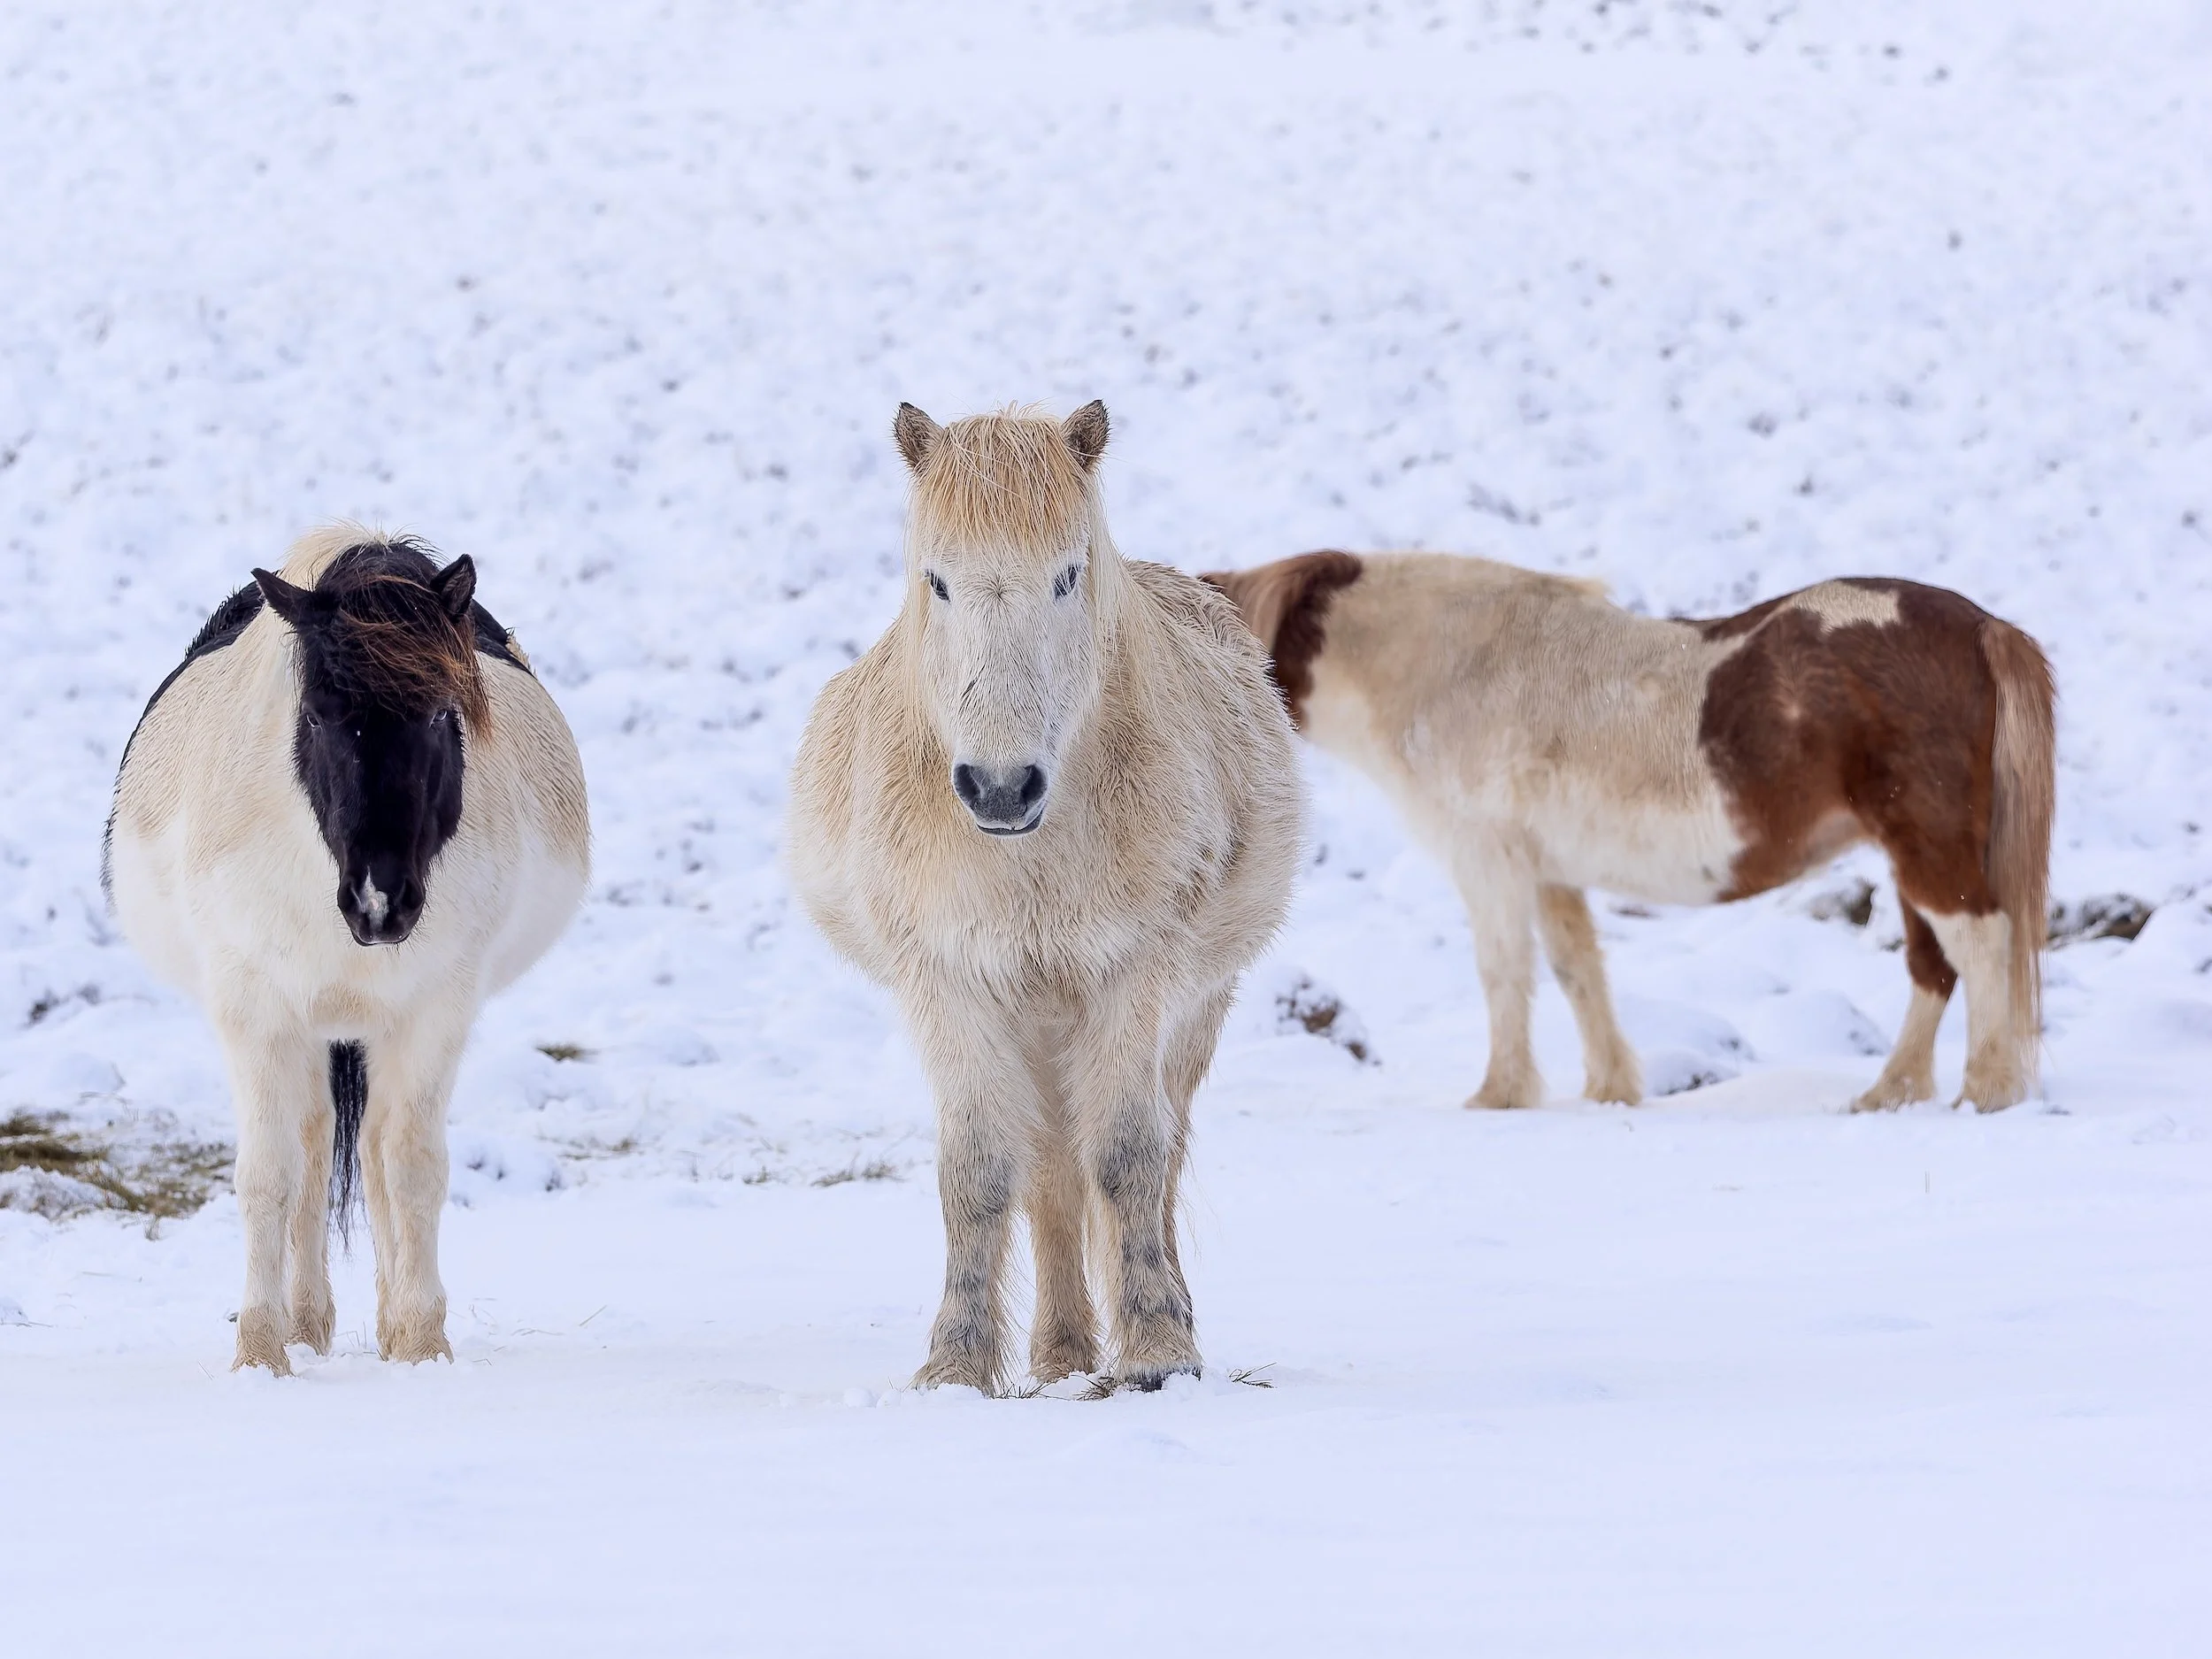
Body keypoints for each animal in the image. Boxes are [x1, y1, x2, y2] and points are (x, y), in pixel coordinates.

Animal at [107, 526, 589, 1373]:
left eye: (441, 714)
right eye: (318, 716)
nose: (380, 900)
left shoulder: (432, 1012)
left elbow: (411, 1166)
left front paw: (421, 1344)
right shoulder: (256, 1012)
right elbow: (269, 1174)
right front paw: (261, 1352)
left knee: (368, 1149)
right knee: (310, 1144)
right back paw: (305, 1323)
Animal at [788, 403, 1302, 1393]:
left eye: (1067, 575)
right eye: (937, 581)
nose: (999, 787)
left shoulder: (1132, 975)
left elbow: (1130, 1157)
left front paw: (1158, 1351)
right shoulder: (949, 983)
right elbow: (980, 1172)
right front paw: (956, 1364)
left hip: (1183, 1010)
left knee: (1149, 1157)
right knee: (1051, 1174)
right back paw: (1061, 1353)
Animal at [1203, 552, 2054, 1114]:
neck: (1450, 664)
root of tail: (1982, 627)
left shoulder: (1490, 860)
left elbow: (1504, 972)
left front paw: (1499, 1095)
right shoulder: (1548, 869)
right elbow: (1578, 970)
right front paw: (1610, 1089)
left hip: (1926, 847)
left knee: (1979, 945)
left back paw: (1986, 1091)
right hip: (1914, 854)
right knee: (1934, 967)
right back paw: (1890, 1094)